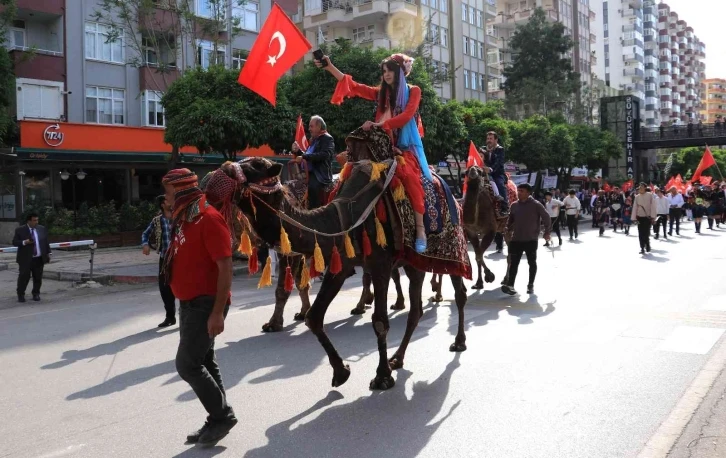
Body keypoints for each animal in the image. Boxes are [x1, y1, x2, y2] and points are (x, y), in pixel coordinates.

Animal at [225, 126, 472, 390]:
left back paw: (458, 340)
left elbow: (380, 321)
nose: (224, 169)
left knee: (459, 290)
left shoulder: (379, 263)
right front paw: (341, 370)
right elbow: (313, 316)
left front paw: (382, 377)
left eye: (255, 166)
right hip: (414, 261)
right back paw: (397, 357)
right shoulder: (338, 263)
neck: (342, 215)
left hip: (453, 246)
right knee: (416, 310)